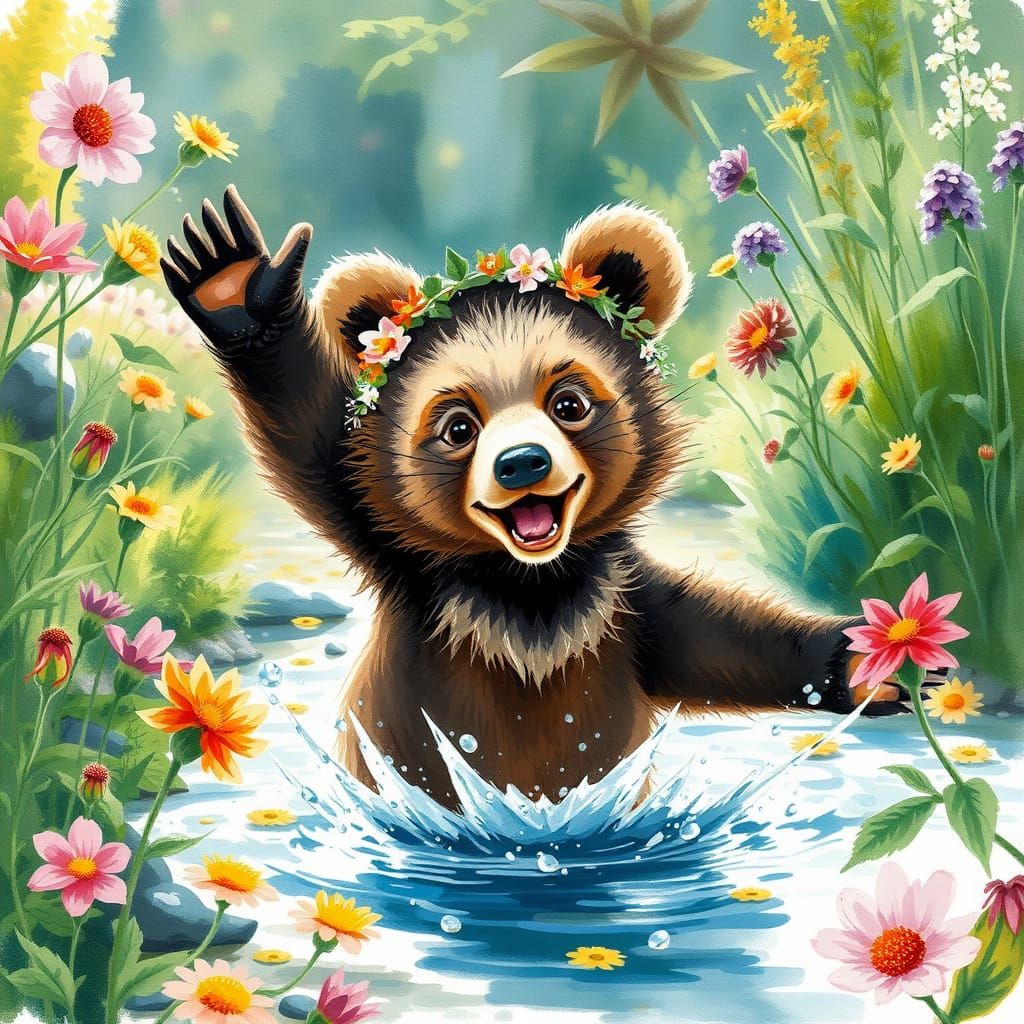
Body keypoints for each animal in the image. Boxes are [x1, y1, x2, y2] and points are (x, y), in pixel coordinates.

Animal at [162, 187, 914, 810]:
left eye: (569, 401)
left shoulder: (619, 604)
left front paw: (866, 662)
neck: (530, 590)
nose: (523, 463)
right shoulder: (414, 576)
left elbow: (722, 640)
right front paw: (234, 285)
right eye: (457, 426)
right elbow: (310, 438)